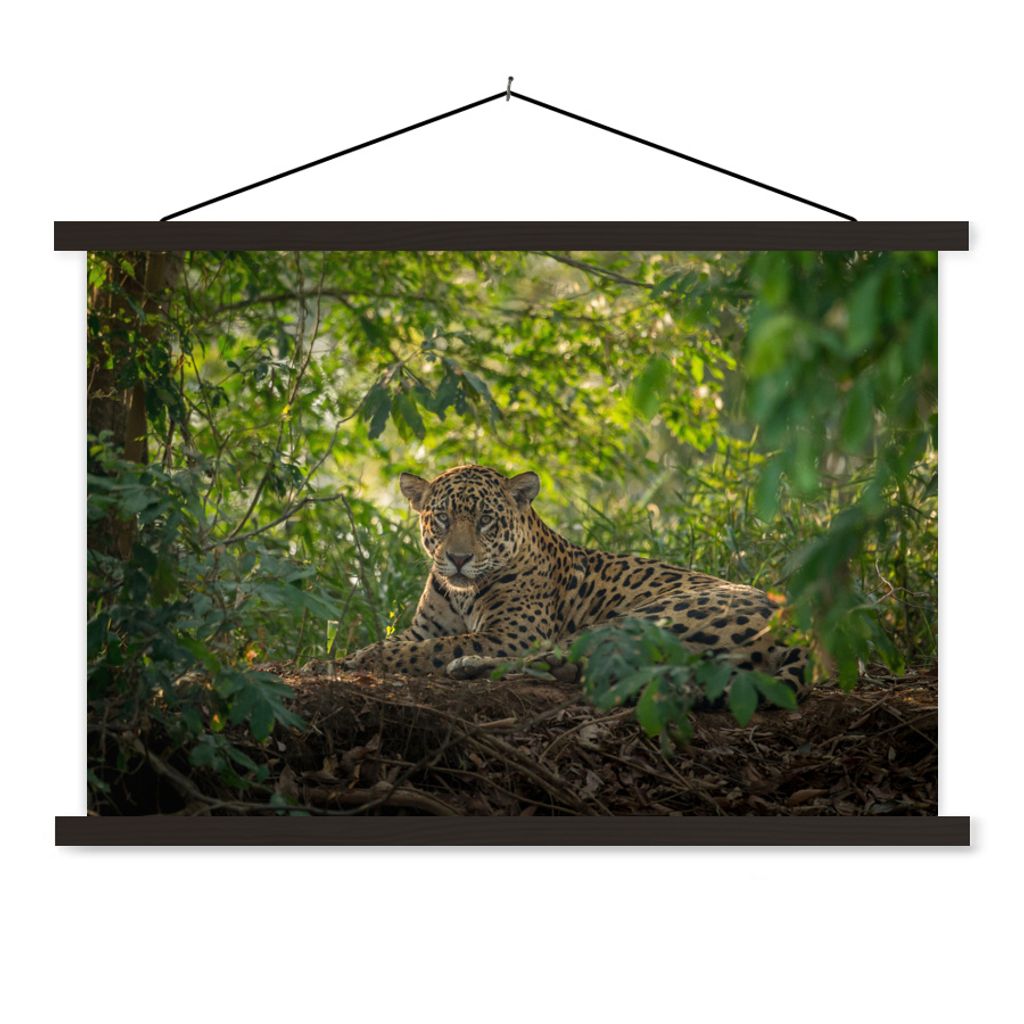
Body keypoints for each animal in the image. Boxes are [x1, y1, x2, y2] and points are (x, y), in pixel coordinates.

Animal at [338, 464, 808, 697]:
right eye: (442, 518)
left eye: (486, 520)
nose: (457, 558)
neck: (461, 595)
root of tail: (793, 629)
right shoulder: (423, 627)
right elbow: (408, 641)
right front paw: (346, 657)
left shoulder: (511, 633)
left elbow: (431, 649)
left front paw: (362, 660)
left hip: (640, 620)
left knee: (556, 659)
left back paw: (468, 665)